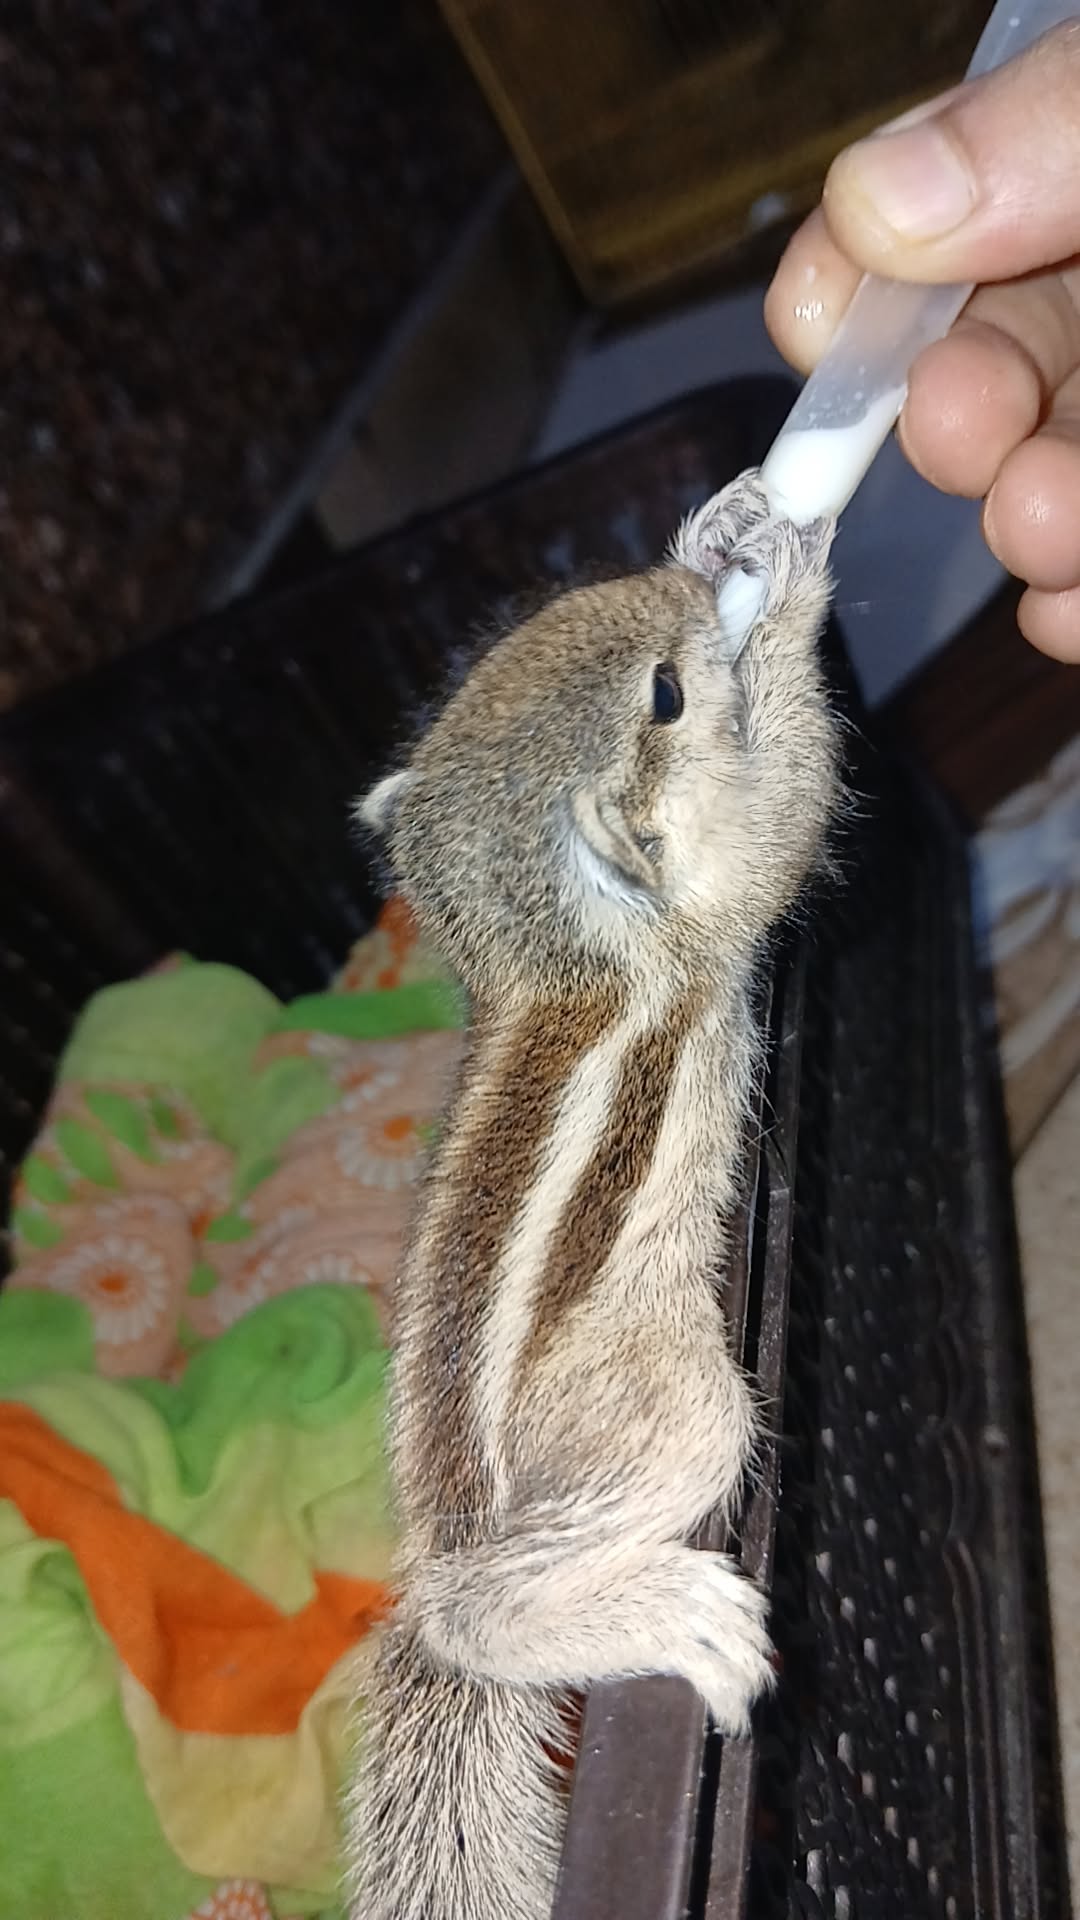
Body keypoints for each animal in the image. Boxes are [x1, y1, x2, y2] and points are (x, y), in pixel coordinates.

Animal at [344, 472, 838, 1920]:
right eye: (665, 692)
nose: (678, 587)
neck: (550, 953)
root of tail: (443, 1530)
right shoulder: (725, 886)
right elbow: (793, 791)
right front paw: (784, 584)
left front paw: (732, 529)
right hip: (678, 1411)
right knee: (478, 1608)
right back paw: (659, 1616)